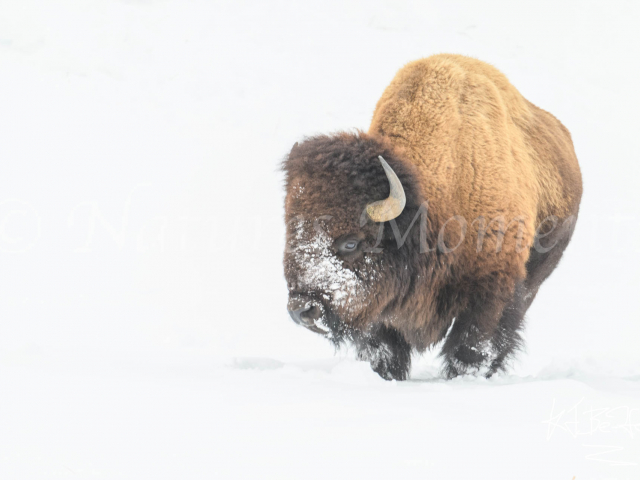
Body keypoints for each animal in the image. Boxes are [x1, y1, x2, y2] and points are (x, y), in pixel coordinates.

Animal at [282, 54, 582, 380]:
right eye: (293, 232)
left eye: (350, 243)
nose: (302, 309)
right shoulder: (379, 307)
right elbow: (384, 349)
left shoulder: (492, 287)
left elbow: (473, 346)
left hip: (534, 279)